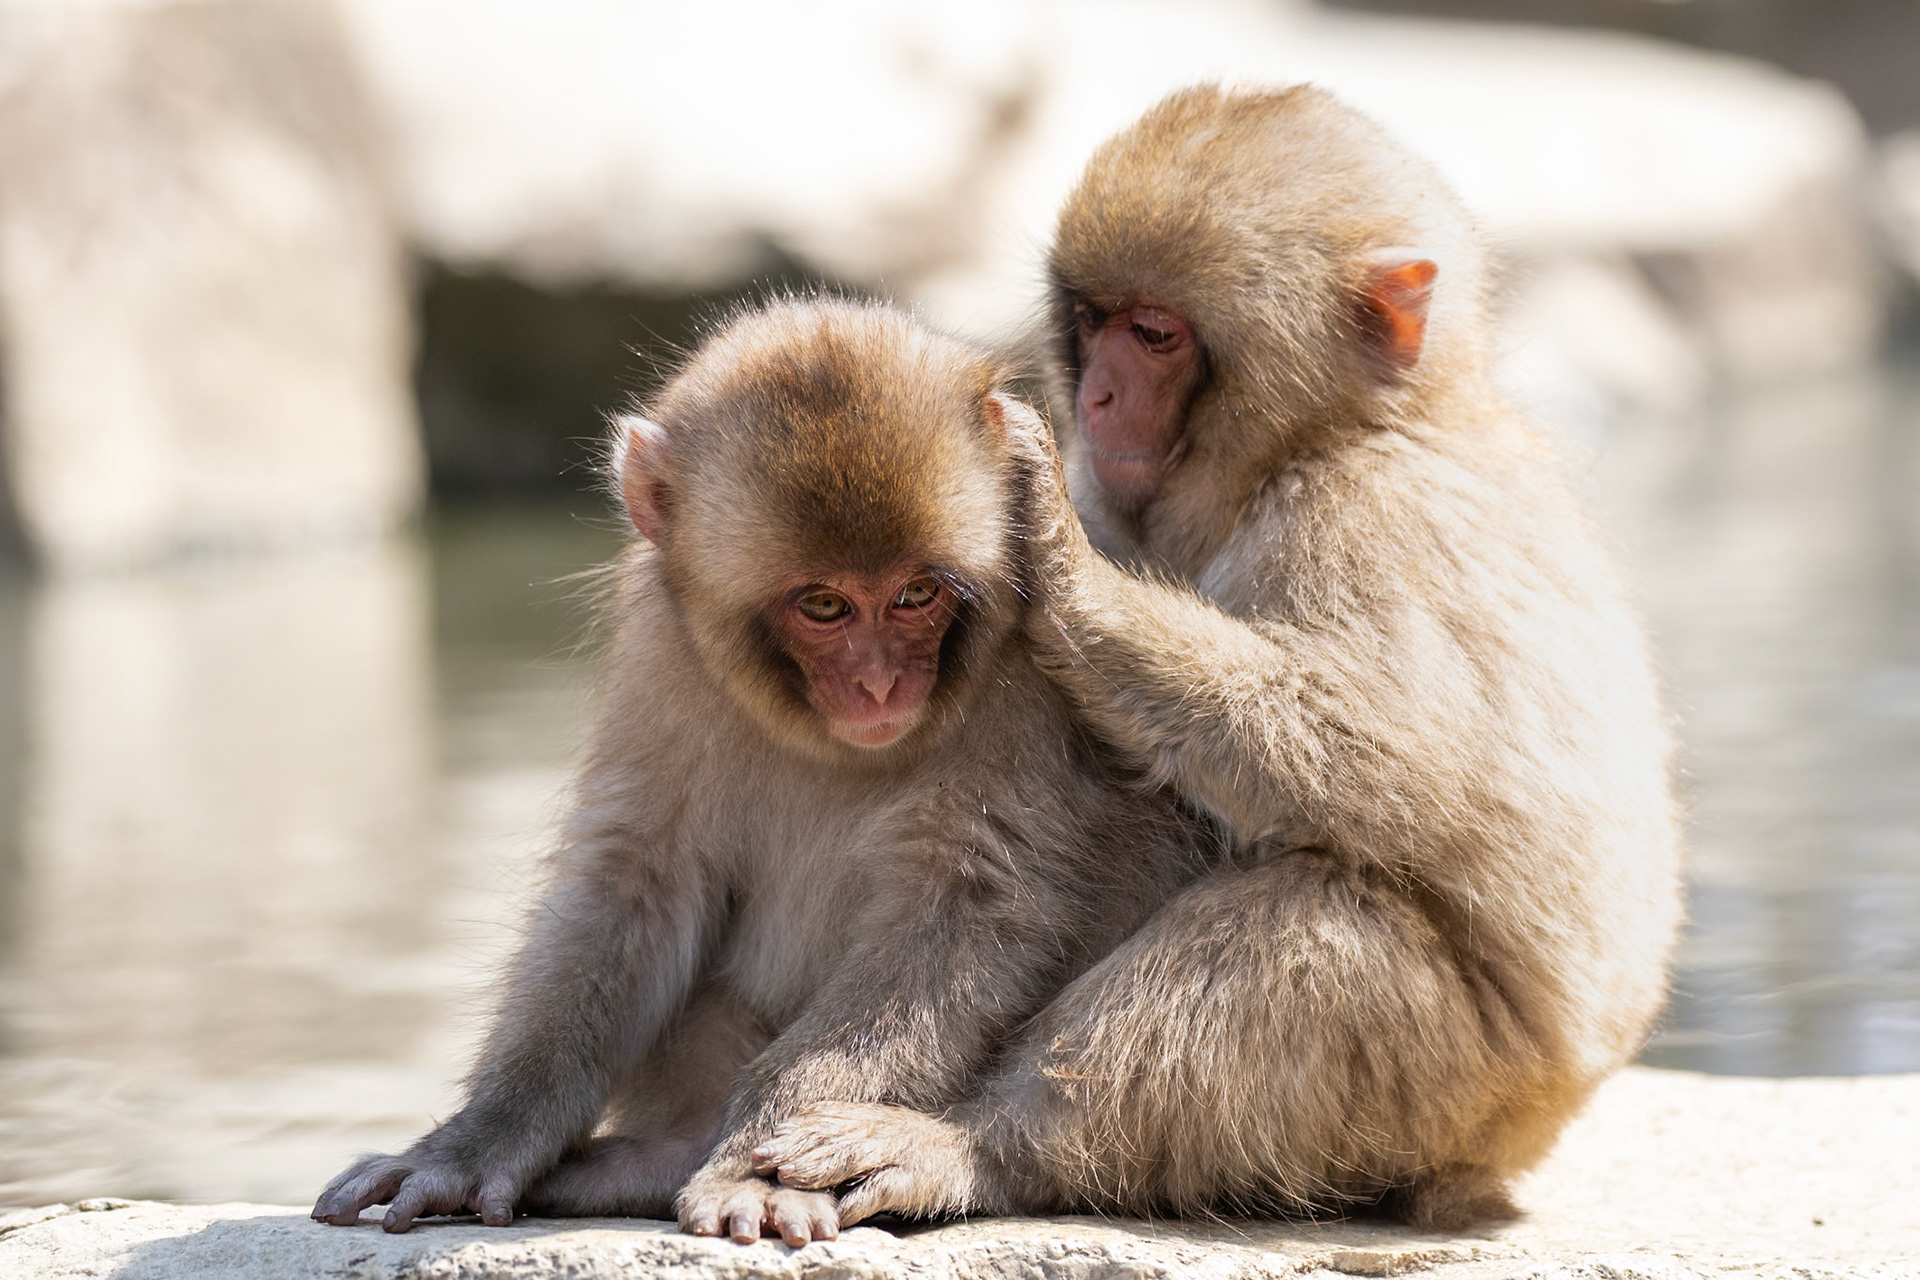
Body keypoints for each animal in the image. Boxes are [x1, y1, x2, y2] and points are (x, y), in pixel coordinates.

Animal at [309, 297, 1214, 1246]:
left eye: (915, 595)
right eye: (824, 605)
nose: (880, 685)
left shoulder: (1028, 664)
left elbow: (966, 901)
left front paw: (758, 1163)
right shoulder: (663, 648)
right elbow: (633, 881)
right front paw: (478, 1138)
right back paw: (658, 1158)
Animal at [752, 85, 1685, 1231]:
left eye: (1156, 335)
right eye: (1093, 321)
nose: (1097, 401)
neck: (1342, 429)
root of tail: (1528, 1131)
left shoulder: (1367, 514)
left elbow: (1391, 762)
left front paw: (1063, 557)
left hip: (1445, 1087)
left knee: (1321, 912)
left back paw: (979, 1146)